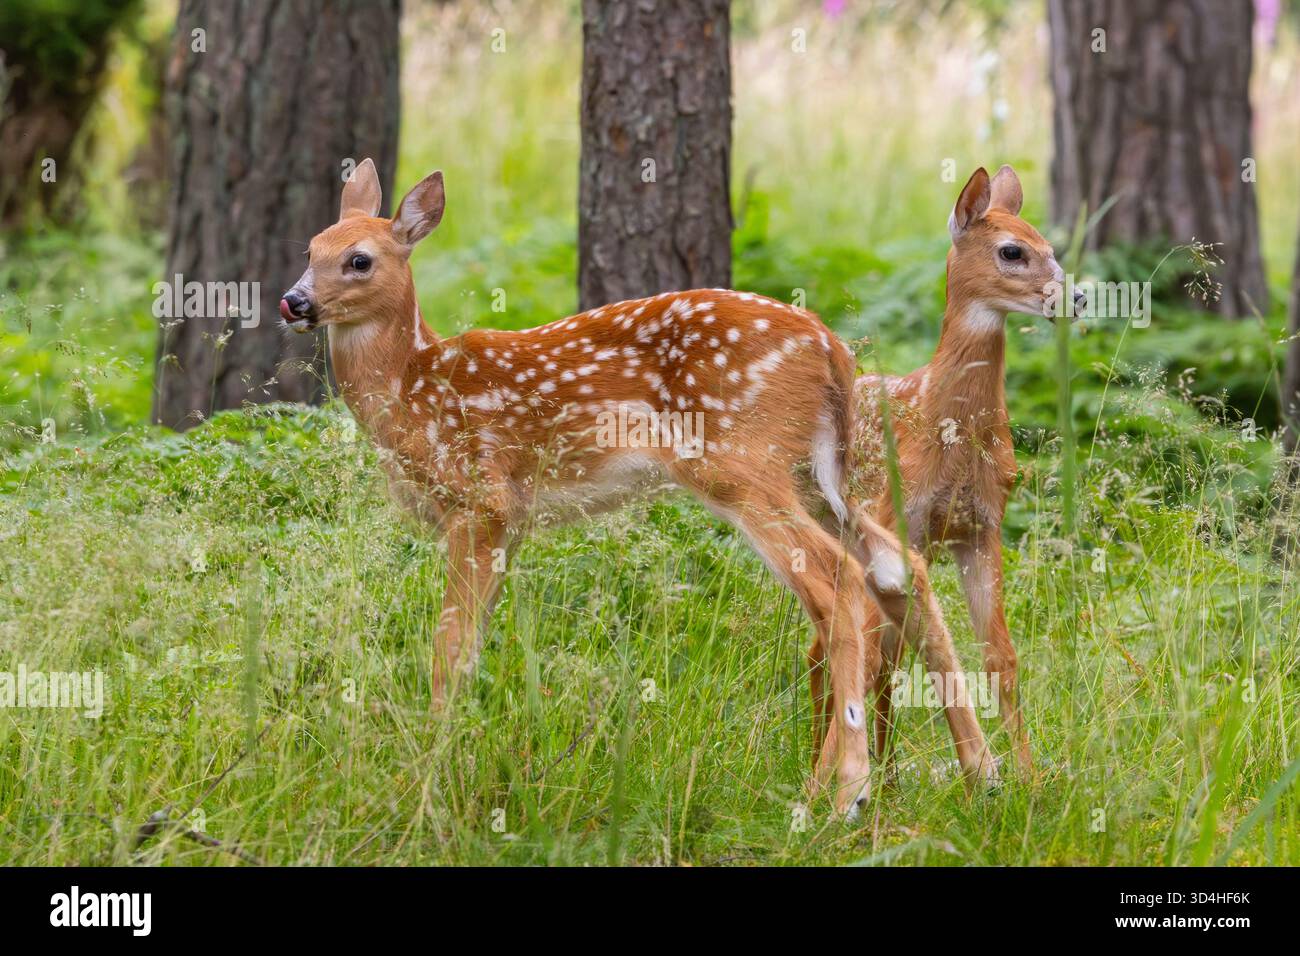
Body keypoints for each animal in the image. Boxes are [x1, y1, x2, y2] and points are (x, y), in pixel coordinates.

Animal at [279, 159, 996, 818]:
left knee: (836, 579)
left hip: (741, 461)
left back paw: (841, 793)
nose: (293, 302)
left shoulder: (482, 500)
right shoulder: (508, 524)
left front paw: (427, 772)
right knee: (898, 567)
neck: (413, 392)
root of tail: (832, 348)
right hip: (818, 475)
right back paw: (980, 774)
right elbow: (473, 645)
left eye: (360, 260)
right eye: (310, 249)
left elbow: (448, 647)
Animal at [810, 165, 1079, 781]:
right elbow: (879, 648)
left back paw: (880, 771)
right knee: (834, 643)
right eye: (1012, 251)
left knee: (873, 650)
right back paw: (820, 758)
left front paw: (1027, 776)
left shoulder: (980, 527)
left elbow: (1001, 655)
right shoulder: (900, 517)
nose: (1075, 296)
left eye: (1052, 249)